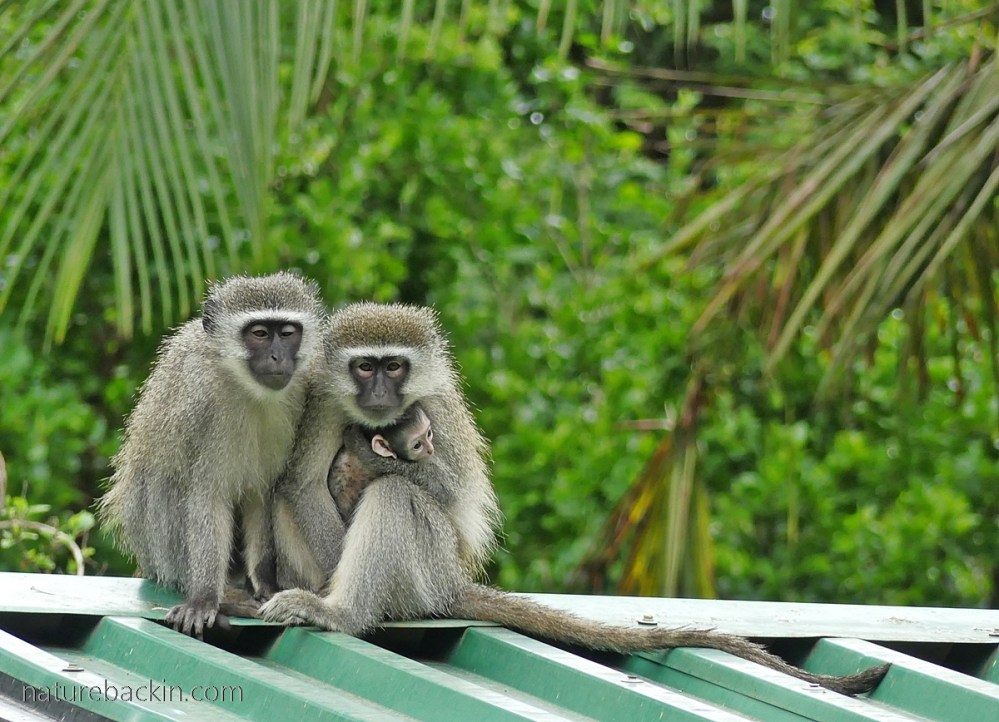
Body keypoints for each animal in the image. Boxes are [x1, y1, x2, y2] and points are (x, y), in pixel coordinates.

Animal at [100, 272, 326, 636]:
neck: (247, 388)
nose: (278, 357)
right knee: (168, 485)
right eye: (259, 334)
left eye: (287, 333)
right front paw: (205, 597)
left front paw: (264, 583)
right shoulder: (200, 396)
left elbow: (260, 492)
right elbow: (207, 494)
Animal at [261, 302, 887, 696]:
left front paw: (370, 460)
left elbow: (450, 493)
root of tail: (452, 583)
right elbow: (299, 484)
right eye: (364, 366)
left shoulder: (434, 411)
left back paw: (343, 611)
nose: (379, 395)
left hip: (425, 568)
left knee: (397, 497)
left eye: (395, 366)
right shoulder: (323, 398)